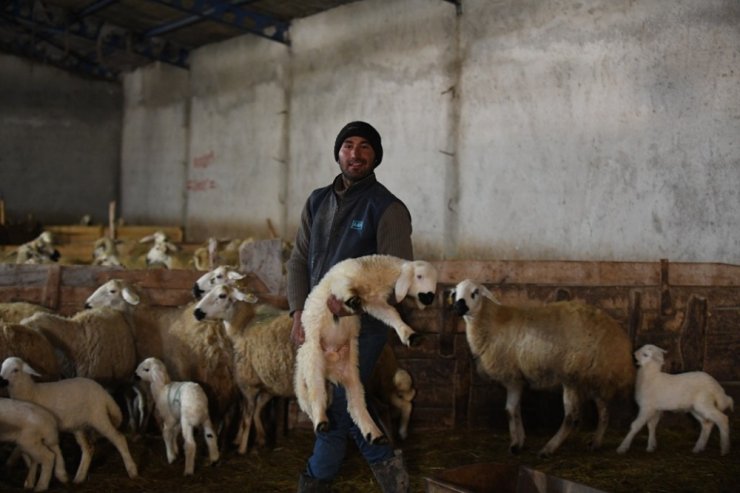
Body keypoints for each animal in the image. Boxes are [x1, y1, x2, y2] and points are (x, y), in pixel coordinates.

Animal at [0, 356, 139, 482]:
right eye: (1, 368)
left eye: (15, 370)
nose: (3, 381)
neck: (31, 393)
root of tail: (102, 392)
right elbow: (26, 449)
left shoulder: (40, 427)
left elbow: (23, 448)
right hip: (78, 426)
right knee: (88, 449)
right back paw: (79, 478)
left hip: (98, 417)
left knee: (119, 439)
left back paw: (132, 470)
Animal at [292, 256, 436, 444]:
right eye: (419, 276)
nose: (430, 298)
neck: (373, 276)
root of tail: (330, 370)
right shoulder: (340, 279)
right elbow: (344, 287)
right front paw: (352, 299)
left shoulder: (374, 303)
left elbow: (392, 314)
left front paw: (411, 336)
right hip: (312, 361)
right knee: (316, 393)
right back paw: (321, 421)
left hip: (352, 373)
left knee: (355, 405)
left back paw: (374, 434)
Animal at [448, 278, 632, 456]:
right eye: (456, 292)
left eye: (476, 292)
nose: (458, 306)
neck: (493, 322)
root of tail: (616, 335)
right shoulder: (518, 378)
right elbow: (515, 410)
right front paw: (520, 441)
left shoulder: (512, 377)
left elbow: (510, 410)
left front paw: (515, 444)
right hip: (594, 376)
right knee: (604, 411)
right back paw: (595, 443)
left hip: (572, 374)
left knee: (572, 416)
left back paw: (548, 448)